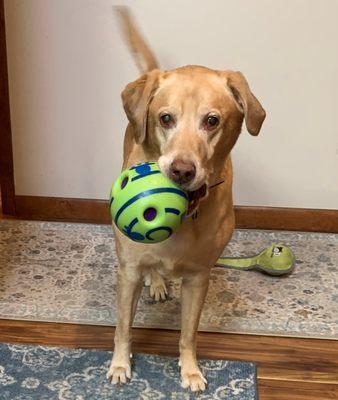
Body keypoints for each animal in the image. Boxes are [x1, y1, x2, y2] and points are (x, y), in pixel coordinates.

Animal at [107, 7, 266, 392]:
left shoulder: (199, 277)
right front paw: (120, 365)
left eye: (212, 121)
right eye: (166, 118)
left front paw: (190, 370)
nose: (181, 170)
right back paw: (156, 282)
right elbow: (123, 327)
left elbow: (188, 334)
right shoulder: (128, 271)